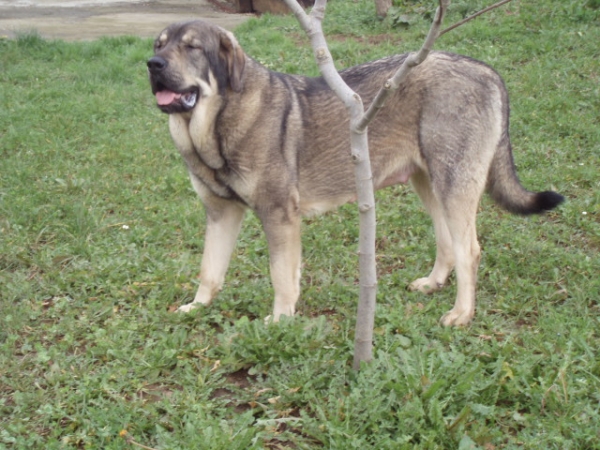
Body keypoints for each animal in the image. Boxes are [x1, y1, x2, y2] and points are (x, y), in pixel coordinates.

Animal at [145, 19, 564, 326]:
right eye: (158, 45)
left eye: (192, 47)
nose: (153, 65)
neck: (216, 126)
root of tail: (488, 72)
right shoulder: (221, 214)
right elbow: (209, 271)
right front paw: (198, 307)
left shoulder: (279, 218)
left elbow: (281, 277)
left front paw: (280, 321)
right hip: (429, 185)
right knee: (447, 243)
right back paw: (433, 284)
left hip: (454, 187)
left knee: (470, 251)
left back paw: (462, 313)